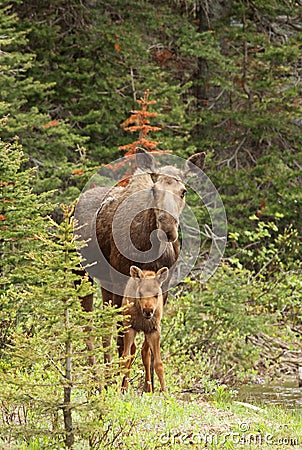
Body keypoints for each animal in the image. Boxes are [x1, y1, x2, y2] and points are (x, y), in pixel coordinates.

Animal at [75, 149, 205, 360]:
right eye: (154, 190)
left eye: (183, 191)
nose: (168, 228)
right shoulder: (122, 282)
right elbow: (123, 342)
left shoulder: (163, 288)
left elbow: (148, 345)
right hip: (81, 273)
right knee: (89, 326)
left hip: (105, 282)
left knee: (105, 328)